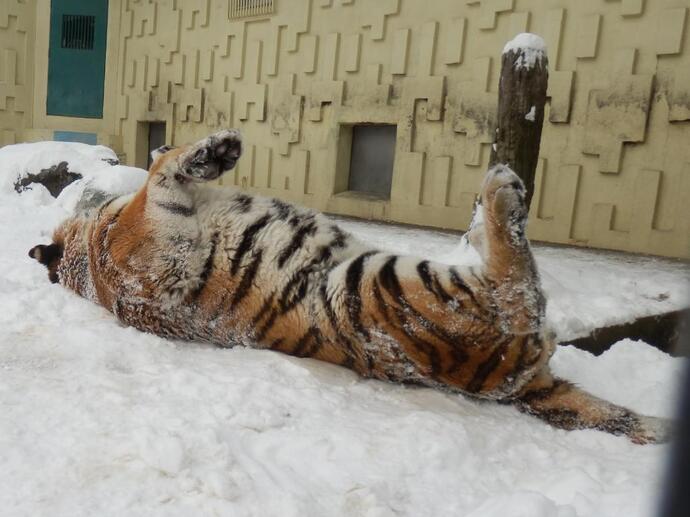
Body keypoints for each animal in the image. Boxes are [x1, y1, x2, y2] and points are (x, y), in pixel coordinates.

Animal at [29, 127, 668, 442]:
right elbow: (163, 175)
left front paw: (180, 147)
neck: (95, 248)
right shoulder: (157, 239)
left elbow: (161, 165)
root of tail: (514, 373)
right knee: (517, 284)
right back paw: (501, 186)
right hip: (405, 286)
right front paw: (211, 149)